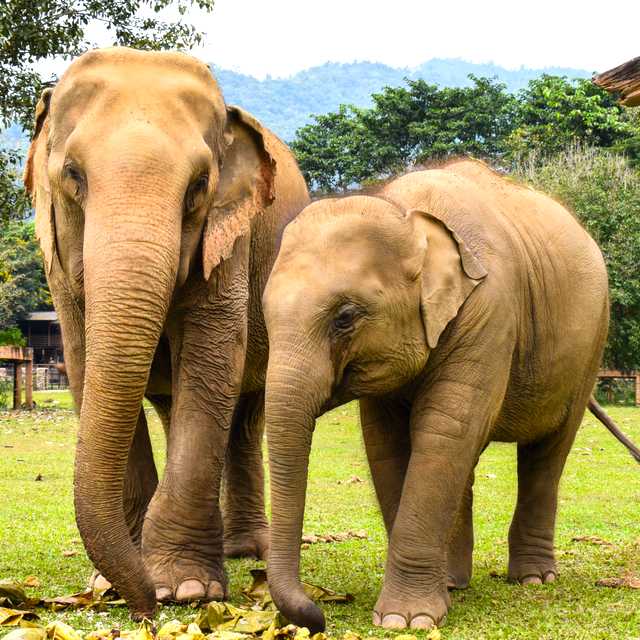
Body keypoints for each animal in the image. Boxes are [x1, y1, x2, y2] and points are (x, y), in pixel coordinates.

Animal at [23, 47, 309, 620]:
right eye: (73, 175)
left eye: (199, 186)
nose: (145, 611)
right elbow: (83, 364)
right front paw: (117, 582)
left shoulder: (230, 238)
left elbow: (213, 357)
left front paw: (186, 589)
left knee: (246, 413)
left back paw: (245, 550)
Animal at [261, 159, 639, 631]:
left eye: (345, 317)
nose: (317, 614)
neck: (409, 218)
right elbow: (388, 446)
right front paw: (429, 603)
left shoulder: (491, 311)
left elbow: (445, 433)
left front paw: (406, 620)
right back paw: (456, 581)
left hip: (589, 345)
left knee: (546, 452)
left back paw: (533, 579)